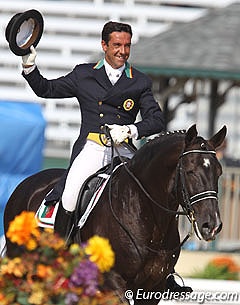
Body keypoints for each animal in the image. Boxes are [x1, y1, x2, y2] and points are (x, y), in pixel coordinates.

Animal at [3, 124, 226, 302]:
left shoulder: (152, 288)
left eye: (219, 172)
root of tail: (27, 183)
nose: (212, 225)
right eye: (190, 171)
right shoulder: (114, 282)